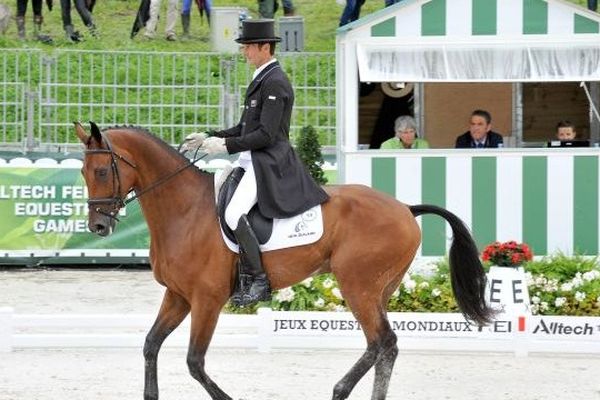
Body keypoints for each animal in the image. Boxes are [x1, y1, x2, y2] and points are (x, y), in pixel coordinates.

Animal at [75, 122, 494, 400]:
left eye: (102, 170)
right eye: (82, 172)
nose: (98, 226)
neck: (184, 211)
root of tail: (405, 208)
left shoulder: (207, 300)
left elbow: (195, 362)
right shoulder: (177, 296)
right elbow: (150, 346)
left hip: (358, 285)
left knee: (382, 341)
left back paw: (340, 389)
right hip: (378, 289)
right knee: (383, 346)